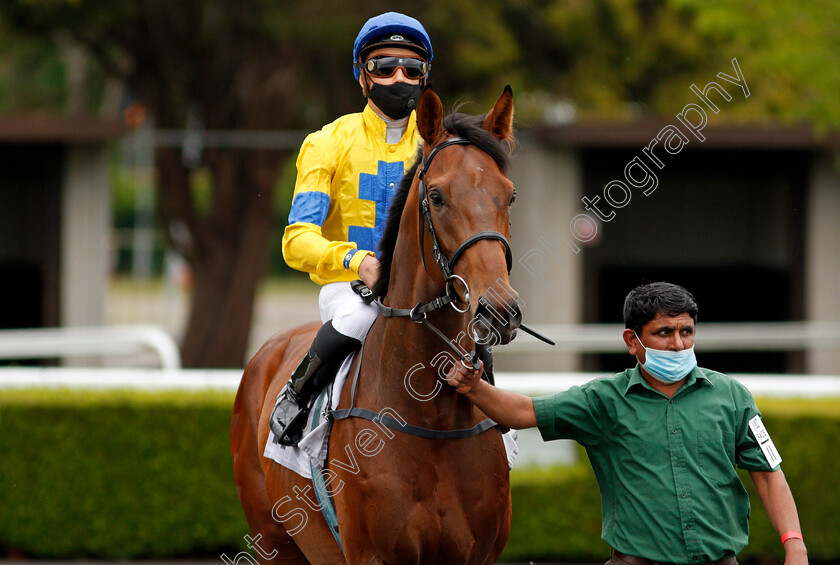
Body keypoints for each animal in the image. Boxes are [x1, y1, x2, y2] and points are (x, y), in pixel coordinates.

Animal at [233, 85, 520, 564]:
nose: (498, 309)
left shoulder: (478, 554)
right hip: (273, 539)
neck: (429, 417)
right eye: (437, 196)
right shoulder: (373, 554)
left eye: (510, 195)